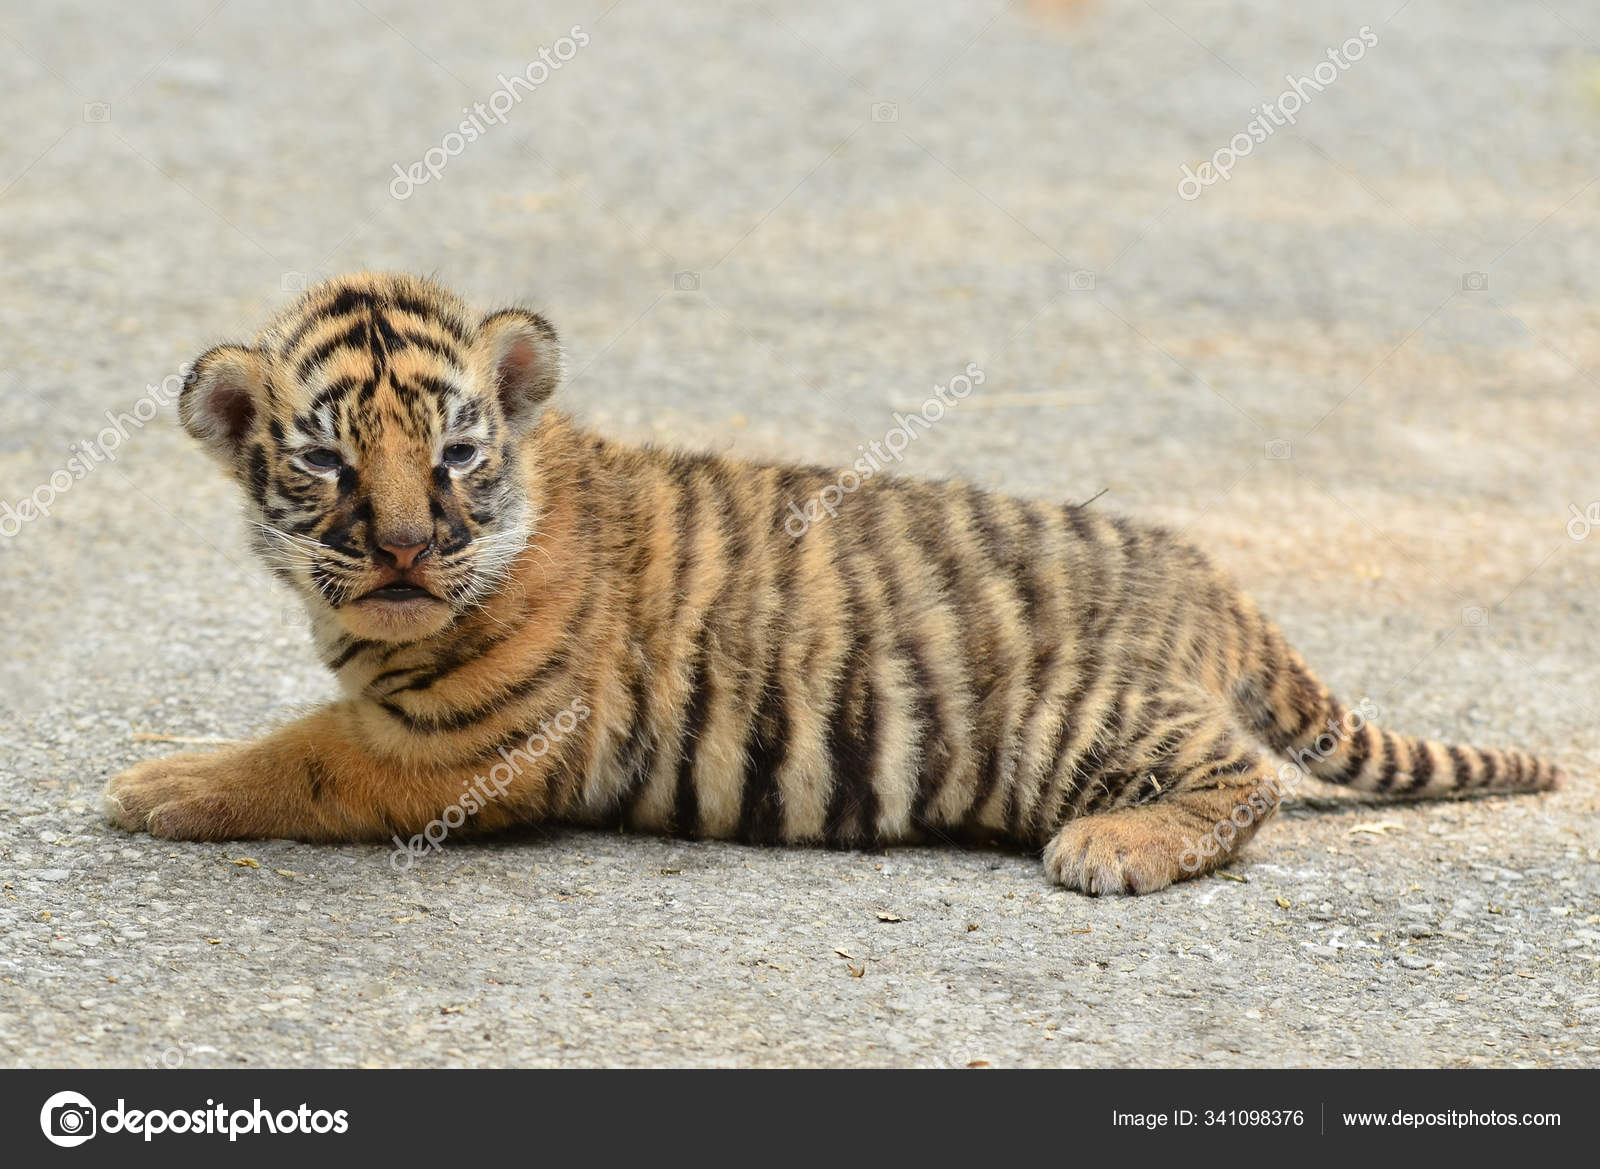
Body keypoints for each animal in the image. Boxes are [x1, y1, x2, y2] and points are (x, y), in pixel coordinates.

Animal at [103, 271, 1563, 895]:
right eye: (329, 466)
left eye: (457, 455)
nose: (406, 548)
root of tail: (1204, 570)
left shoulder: (467, 746)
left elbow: (299, 757)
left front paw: (157, 781)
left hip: (1079, 719)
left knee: (1241, 775)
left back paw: (1112, 848)